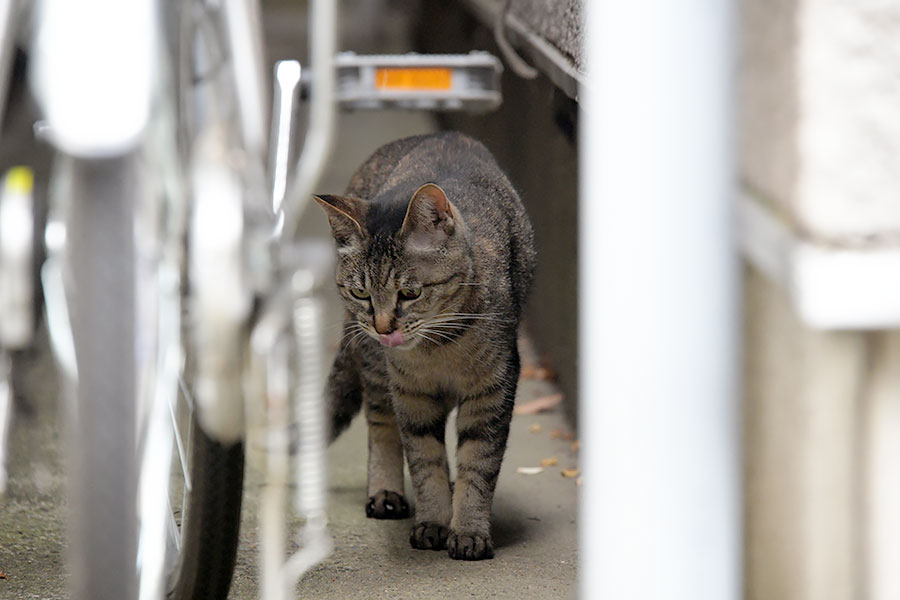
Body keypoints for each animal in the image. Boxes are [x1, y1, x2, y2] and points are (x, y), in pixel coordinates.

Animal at [318, 132, 536, 564]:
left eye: (410, 293)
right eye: (360, 293)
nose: (383, 328)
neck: (440, 348)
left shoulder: (493, 389)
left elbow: (478, 464)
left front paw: (468, 529)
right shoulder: (410, 394)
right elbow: (423, 459)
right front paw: (434, 520)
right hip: (373, 364)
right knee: (381, 425)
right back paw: (385, 493)